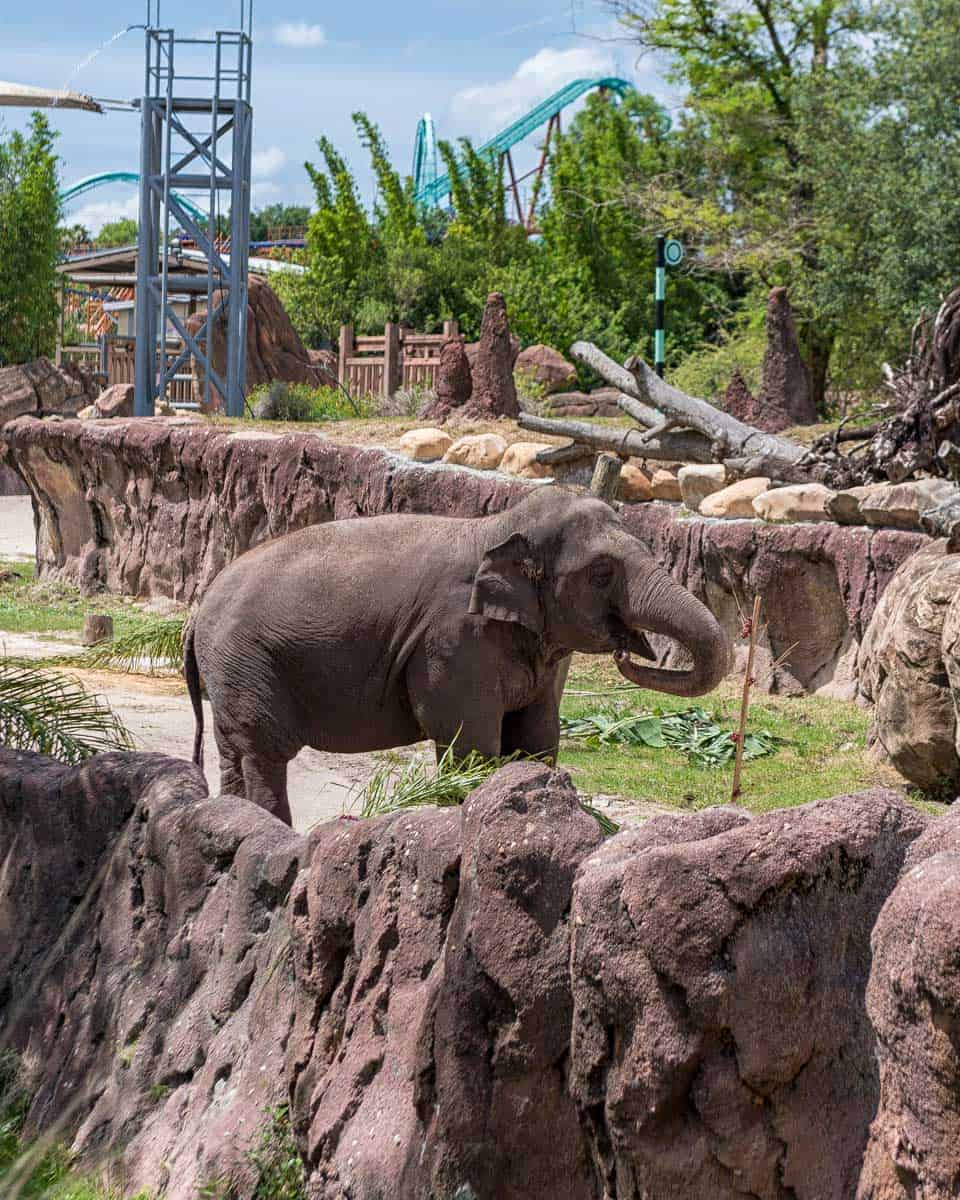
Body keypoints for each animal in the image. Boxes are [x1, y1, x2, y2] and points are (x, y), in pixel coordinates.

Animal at [184, 487, 730, 824]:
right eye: (601, 574)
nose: (627, 653)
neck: (498, 526)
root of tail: (198, 609)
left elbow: (536, 739)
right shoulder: (450, 640)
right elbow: (471, 740)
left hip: (233, 670)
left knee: (234, 752)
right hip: (246, 662)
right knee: (264, 752)